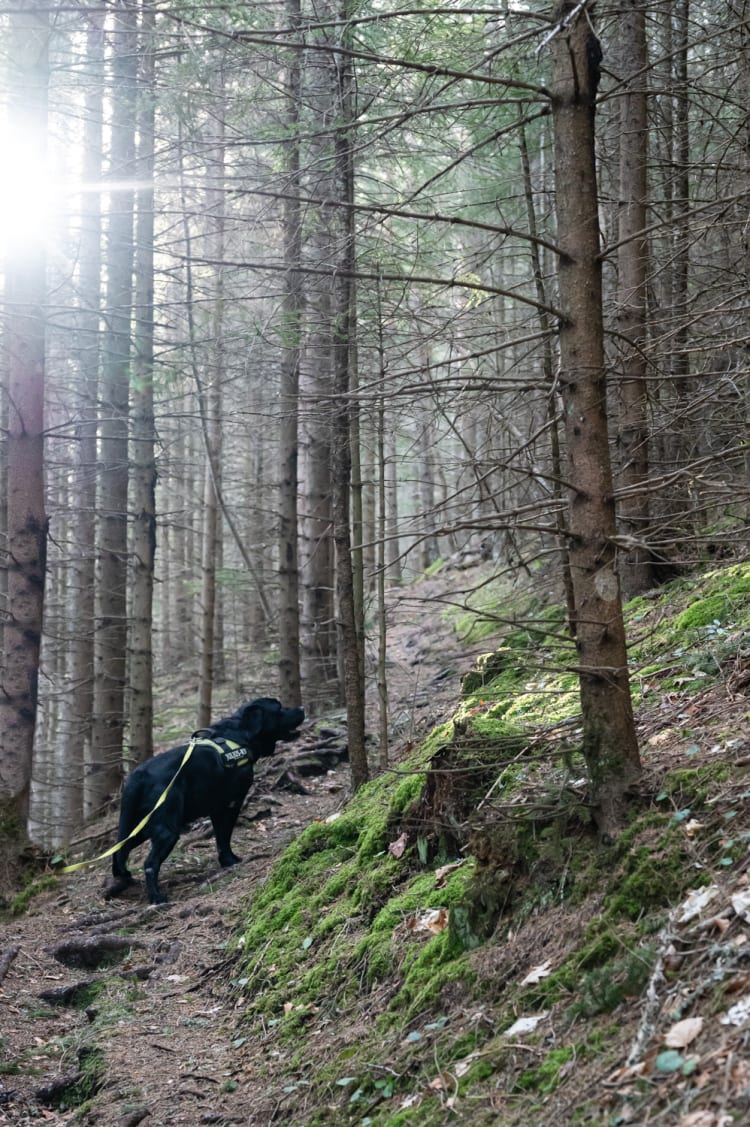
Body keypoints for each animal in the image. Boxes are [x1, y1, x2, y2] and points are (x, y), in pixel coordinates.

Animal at [107, 694, 304, 906]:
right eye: (279, 708)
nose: (302, 708)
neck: (240, 736)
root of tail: (138, 777)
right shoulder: (230, 804)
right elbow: (224, 837)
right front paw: (230, 860)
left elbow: (220, 838)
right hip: (167, 829)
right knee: (150, 863)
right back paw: (156, 897)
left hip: (137, 826)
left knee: (119, 850)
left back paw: (124, 879)